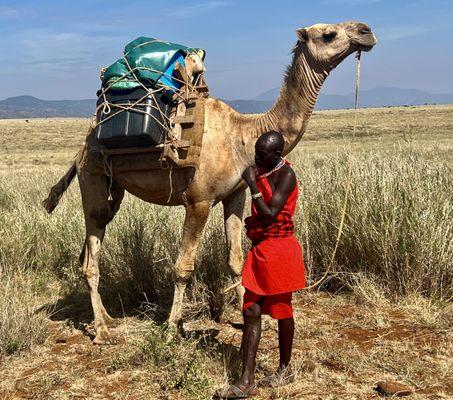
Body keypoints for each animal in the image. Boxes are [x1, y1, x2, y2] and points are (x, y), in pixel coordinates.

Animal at [43, 21, 374, 344]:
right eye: (328, 34)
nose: (366, 31)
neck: (244, 137)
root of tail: (82, 148)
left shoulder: (236, 195)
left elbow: (236, 259)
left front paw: (248, 317)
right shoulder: (198, 201)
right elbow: (183, 267)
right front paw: (171, 328)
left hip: (114, 187)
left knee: (92, 245)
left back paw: (109, 318)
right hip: (93, 176)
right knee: (92, 252)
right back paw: (102, 332)